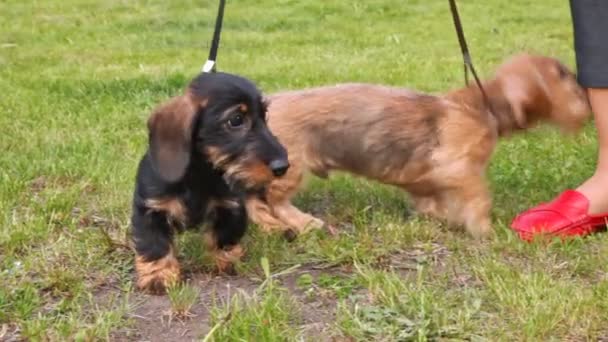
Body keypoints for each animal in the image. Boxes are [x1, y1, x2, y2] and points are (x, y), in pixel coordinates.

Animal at [130, 72, 290, 294]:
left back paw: (276, 228)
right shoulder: (150, 208)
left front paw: (226, 260)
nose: (283, 166)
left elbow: (224, 235)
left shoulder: (230, 206)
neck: (199, 173)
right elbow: (154, 244)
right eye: (236, 120)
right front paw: (159, 275)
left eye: (264, 115)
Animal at [245, 54, 592, 240]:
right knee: (268, 201)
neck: (481, 107)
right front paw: (485, 230)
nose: (588, 94)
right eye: (563, 74)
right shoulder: (459, 168)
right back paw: (299, 223)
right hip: (287, 165)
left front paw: (441, 217)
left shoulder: (424, 180)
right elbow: (480, 198)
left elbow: (430, 200)